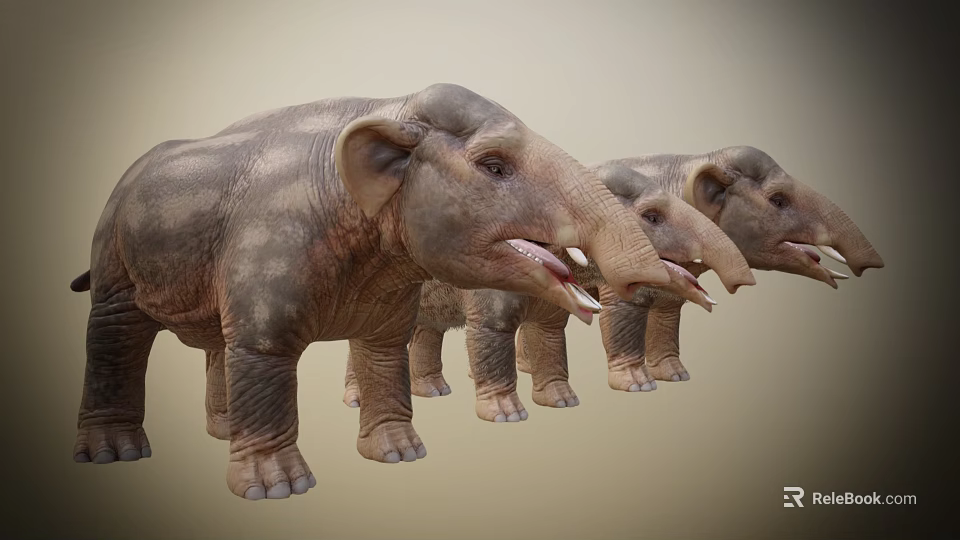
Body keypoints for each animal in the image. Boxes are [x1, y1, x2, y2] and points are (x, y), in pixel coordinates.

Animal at [67, 83, 673, 501]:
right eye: (494, 166)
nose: (638, 279)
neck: (392, 105)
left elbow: (384, 346)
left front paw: (401, 456)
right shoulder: (270, 239)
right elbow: (264, 344)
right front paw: (278, 490)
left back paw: (220, 432)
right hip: (113, 246)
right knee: (118, 330)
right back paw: (116, 454)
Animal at [342, 163, 756, 417]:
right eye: (652, 217)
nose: (745, 284)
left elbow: (549, 330)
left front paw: (563, 402)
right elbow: (493, 327)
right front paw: (509, 417)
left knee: (428, 330)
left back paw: (434, 392)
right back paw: (357, 400)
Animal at [515, 146, 885, 388]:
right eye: (779, 200)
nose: (873, 268)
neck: (695, 160)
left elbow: (669, 304)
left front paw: (677, 376)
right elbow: (627, 302)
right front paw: (639, 385)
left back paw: (526, 368)